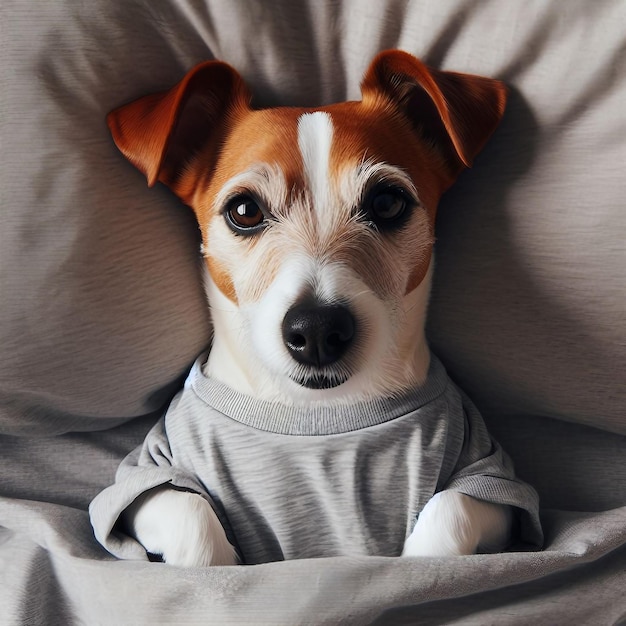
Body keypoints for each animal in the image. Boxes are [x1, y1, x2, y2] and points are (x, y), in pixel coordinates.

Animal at [90, 50, 540, 564]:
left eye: (387, 202)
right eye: (244, 211)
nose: (319, 330)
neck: (316, 411)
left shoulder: (492, 477)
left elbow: (451, 509)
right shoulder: (145, 473)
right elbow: (188, 511)